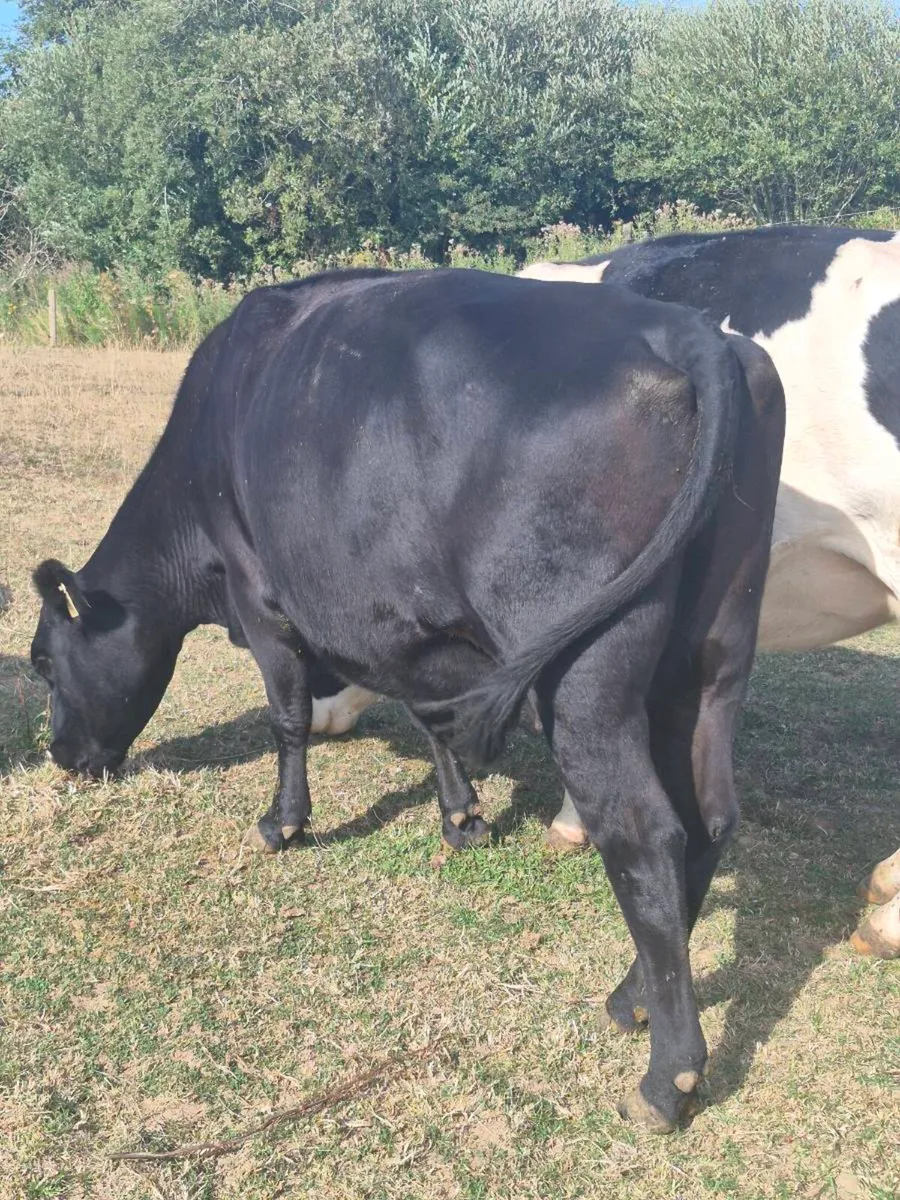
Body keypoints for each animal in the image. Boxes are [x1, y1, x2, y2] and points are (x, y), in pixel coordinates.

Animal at [30, 267, 784, 1131]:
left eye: (43, 663)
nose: (59, 755)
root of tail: (685, 330)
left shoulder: (260, 596)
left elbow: (287, 716)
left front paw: (283, 825)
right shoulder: (409, 630)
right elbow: (432, 723)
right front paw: (461, 818)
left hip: (586, 675)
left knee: (644, 834)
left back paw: (669, 1077)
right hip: (713, 654)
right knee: (709, 813)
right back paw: (631, 999)